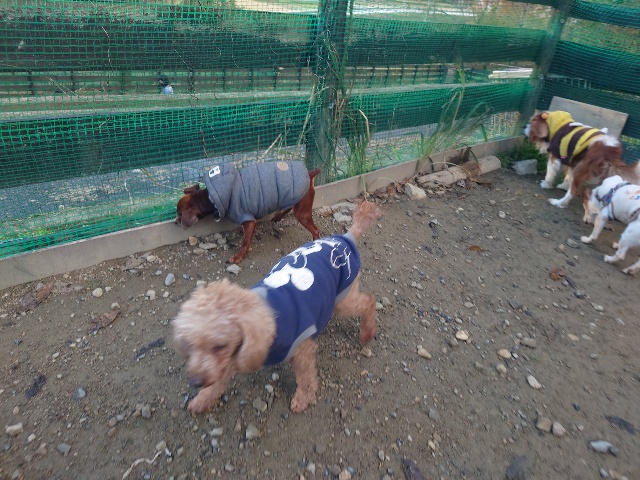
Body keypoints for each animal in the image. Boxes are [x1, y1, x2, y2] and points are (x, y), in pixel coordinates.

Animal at [173, 200, 382, 414]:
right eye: (190, 345)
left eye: (218, 346)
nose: (196, 381)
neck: (265, 319)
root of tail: (346, 237)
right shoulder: (234, 354)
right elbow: (218, 379)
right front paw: (201, 400)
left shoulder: (301, 349)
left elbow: (306, 379)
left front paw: (302, 400)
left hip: (344, 297)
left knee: (368, 301)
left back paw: (367, 333)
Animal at [175, 160, 321, 264]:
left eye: (179, 215)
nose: (175, 223)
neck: (211, 198)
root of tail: (309, 174)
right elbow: (247, 238)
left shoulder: (248, 220)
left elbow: (245, 243)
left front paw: (238, 257)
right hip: (293, 199)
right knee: (288, 207)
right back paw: (278, 216)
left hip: (302, 213)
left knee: (315, 230)